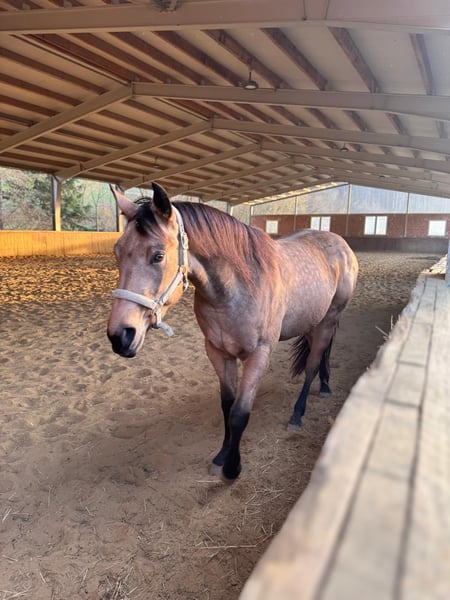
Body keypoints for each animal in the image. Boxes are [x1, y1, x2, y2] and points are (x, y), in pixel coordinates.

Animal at [107, 182, 359, 483]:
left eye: (158, 256)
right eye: (117, 252)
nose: (120, 336)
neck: (236, 287)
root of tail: (341, 244)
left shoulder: (259, 355)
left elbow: (239, 412)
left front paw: (232, 468)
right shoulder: (217, 351)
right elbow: (227, 405)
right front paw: (221, 456)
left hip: (329, 319)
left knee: (311, 365)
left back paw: (298, 415)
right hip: (314, 321)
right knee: (321, 355)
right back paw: (325, 385)